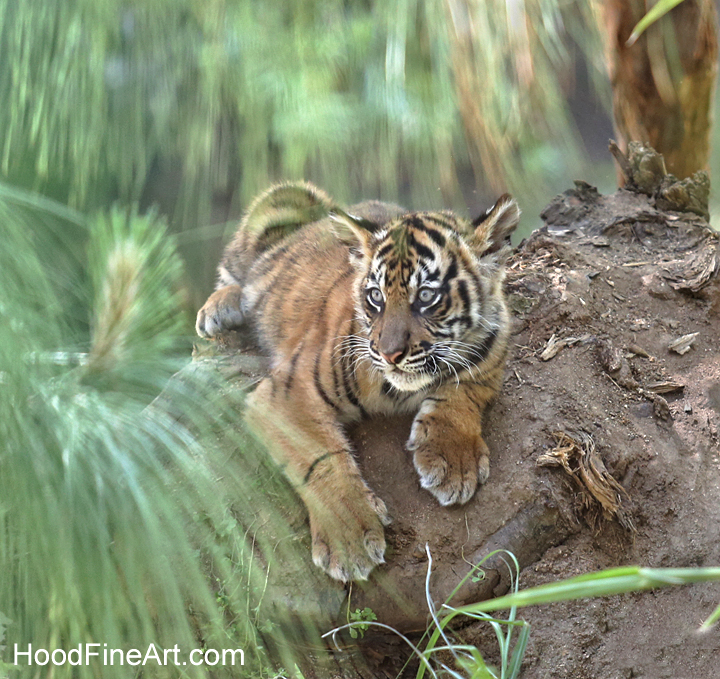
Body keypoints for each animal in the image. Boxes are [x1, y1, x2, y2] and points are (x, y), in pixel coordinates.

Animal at [196, 181, 520, 582]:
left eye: (426, 296)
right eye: (376, 296)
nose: (389, 353)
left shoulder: (490, 356)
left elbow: (462, 397)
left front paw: (454, 462)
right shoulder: (286, 393)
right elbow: (320, 459)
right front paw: (350, 540)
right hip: (283, 198)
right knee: (234, 274)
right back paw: (218, 309)